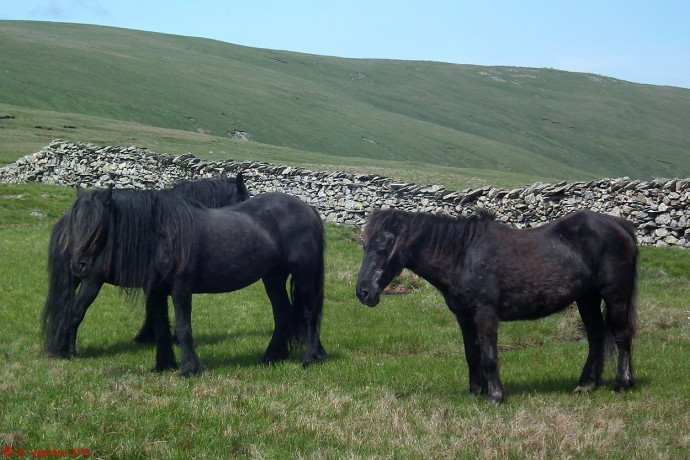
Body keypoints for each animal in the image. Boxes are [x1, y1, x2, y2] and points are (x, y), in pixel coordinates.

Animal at [43, 173, 250, 359]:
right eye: (243, 198)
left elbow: (154, 308)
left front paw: (148, 336)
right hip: (91, 281)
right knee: (75, 311)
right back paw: (70, 352)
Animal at [355, 208, 638, 403]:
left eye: (384, 246)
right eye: (365, 245)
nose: (363, 292)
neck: (463, 256)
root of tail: (619, 225)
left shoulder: (485, 314)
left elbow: (489, 356)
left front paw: (495, 396)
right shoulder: (464, 316)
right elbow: (472, 354)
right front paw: (476, 391)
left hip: (615, 295)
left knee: (622, 336)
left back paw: (623, 384)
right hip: (587, 298)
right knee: (596, 335)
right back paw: (587, 384)